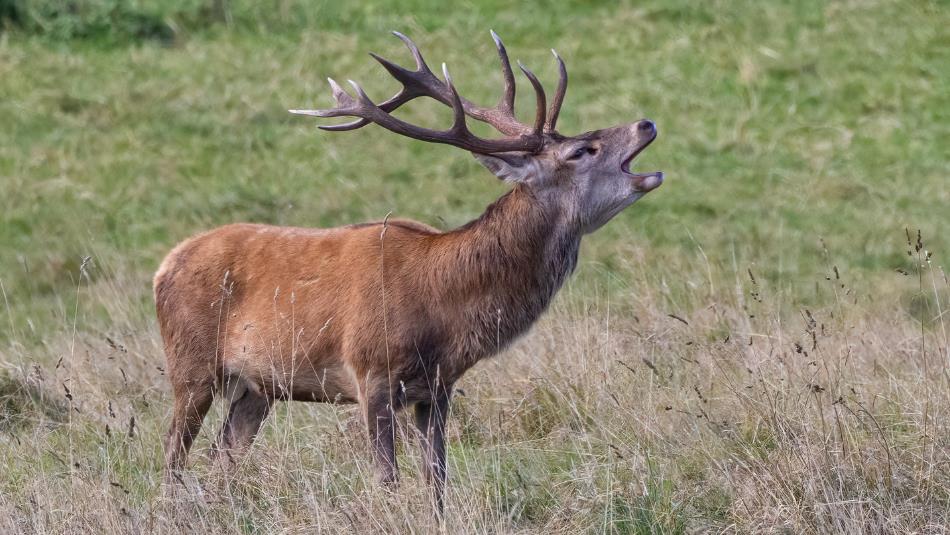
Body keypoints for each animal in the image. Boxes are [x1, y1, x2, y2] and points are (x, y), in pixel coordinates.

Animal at [154, 31, 662, 511]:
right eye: (581, 150)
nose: (646, 122)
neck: (443, 309)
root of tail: (166, 263)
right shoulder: (371, 371)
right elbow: (388, 480)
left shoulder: (437, 388)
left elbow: (437, 481)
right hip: (191, 363)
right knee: (172, 455)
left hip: (257, 386)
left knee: (221, 456)